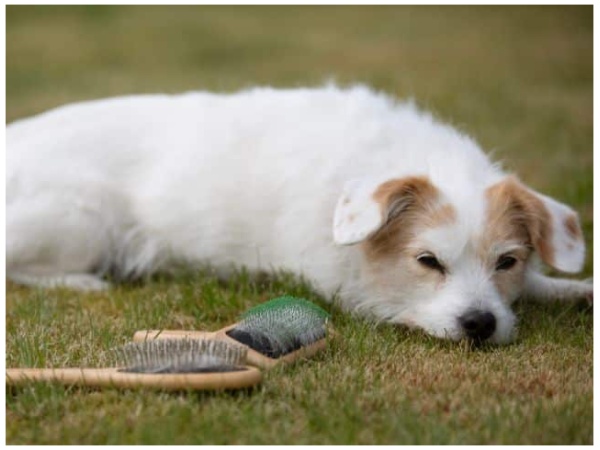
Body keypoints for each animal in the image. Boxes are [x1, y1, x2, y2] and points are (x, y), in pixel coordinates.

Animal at [7, 85, 592, 344]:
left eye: (506, 262)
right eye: (427, 261)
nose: (480, 324)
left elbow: (542, 284)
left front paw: (573, 290)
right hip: (82, 218)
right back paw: (82, 281)